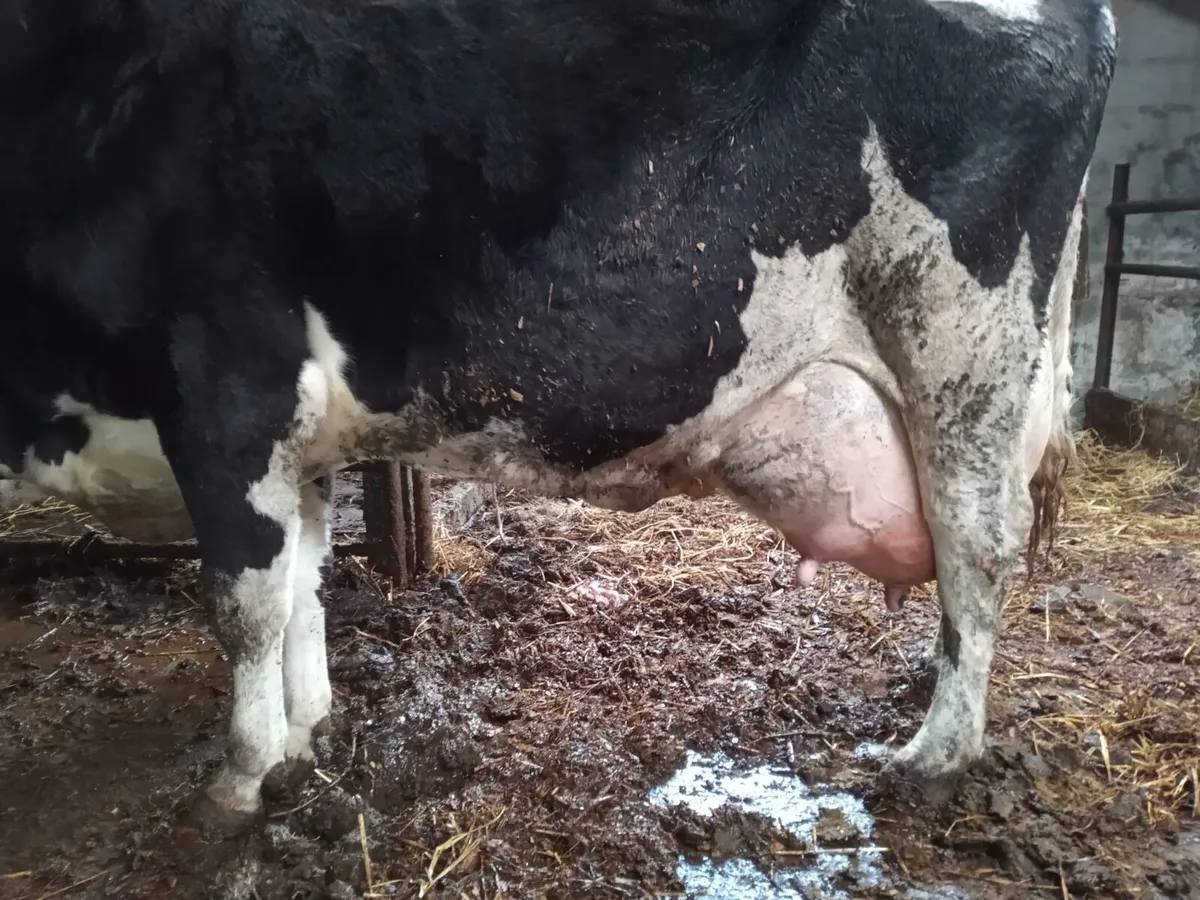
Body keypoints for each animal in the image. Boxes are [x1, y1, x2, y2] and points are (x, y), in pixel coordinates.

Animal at [0, 0, 1116, 836]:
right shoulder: (293, 442)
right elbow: (307, 583)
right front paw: (304, 735)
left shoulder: (224, 389)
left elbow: (244, 605)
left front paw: (238, 778)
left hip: (962, 348)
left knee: (978, 546)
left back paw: (933, 753)